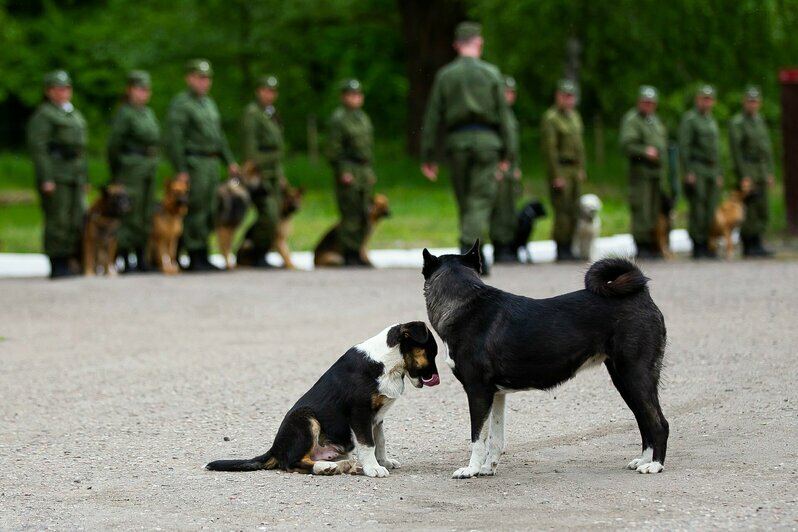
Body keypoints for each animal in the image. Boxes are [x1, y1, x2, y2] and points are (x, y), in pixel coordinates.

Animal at [205, 320, 444, 478]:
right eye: (431, 352)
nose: (437, 378)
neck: (387, 363)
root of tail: (274, 449)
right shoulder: (360, 412)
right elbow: (368, 443)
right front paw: (374, 468)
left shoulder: (377, 417)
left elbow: (380, 441)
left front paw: (383, 461)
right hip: (305, 419)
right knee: (291, 463)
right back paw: (329, 468)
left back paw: (346, 466)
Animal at [422, 241, 672, 478]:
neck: (464, 304)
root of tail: (641, 294)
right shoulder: (496, 394)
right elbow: (495, 438)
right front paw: (487, 468)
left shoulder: (477, 391)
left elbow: (477, 438)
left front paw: (471, 470)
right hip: (624, 379)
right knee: (644, 420)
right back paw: (644, 460)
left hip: (635, 375)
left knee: (659, 423)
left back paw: (655, 465)